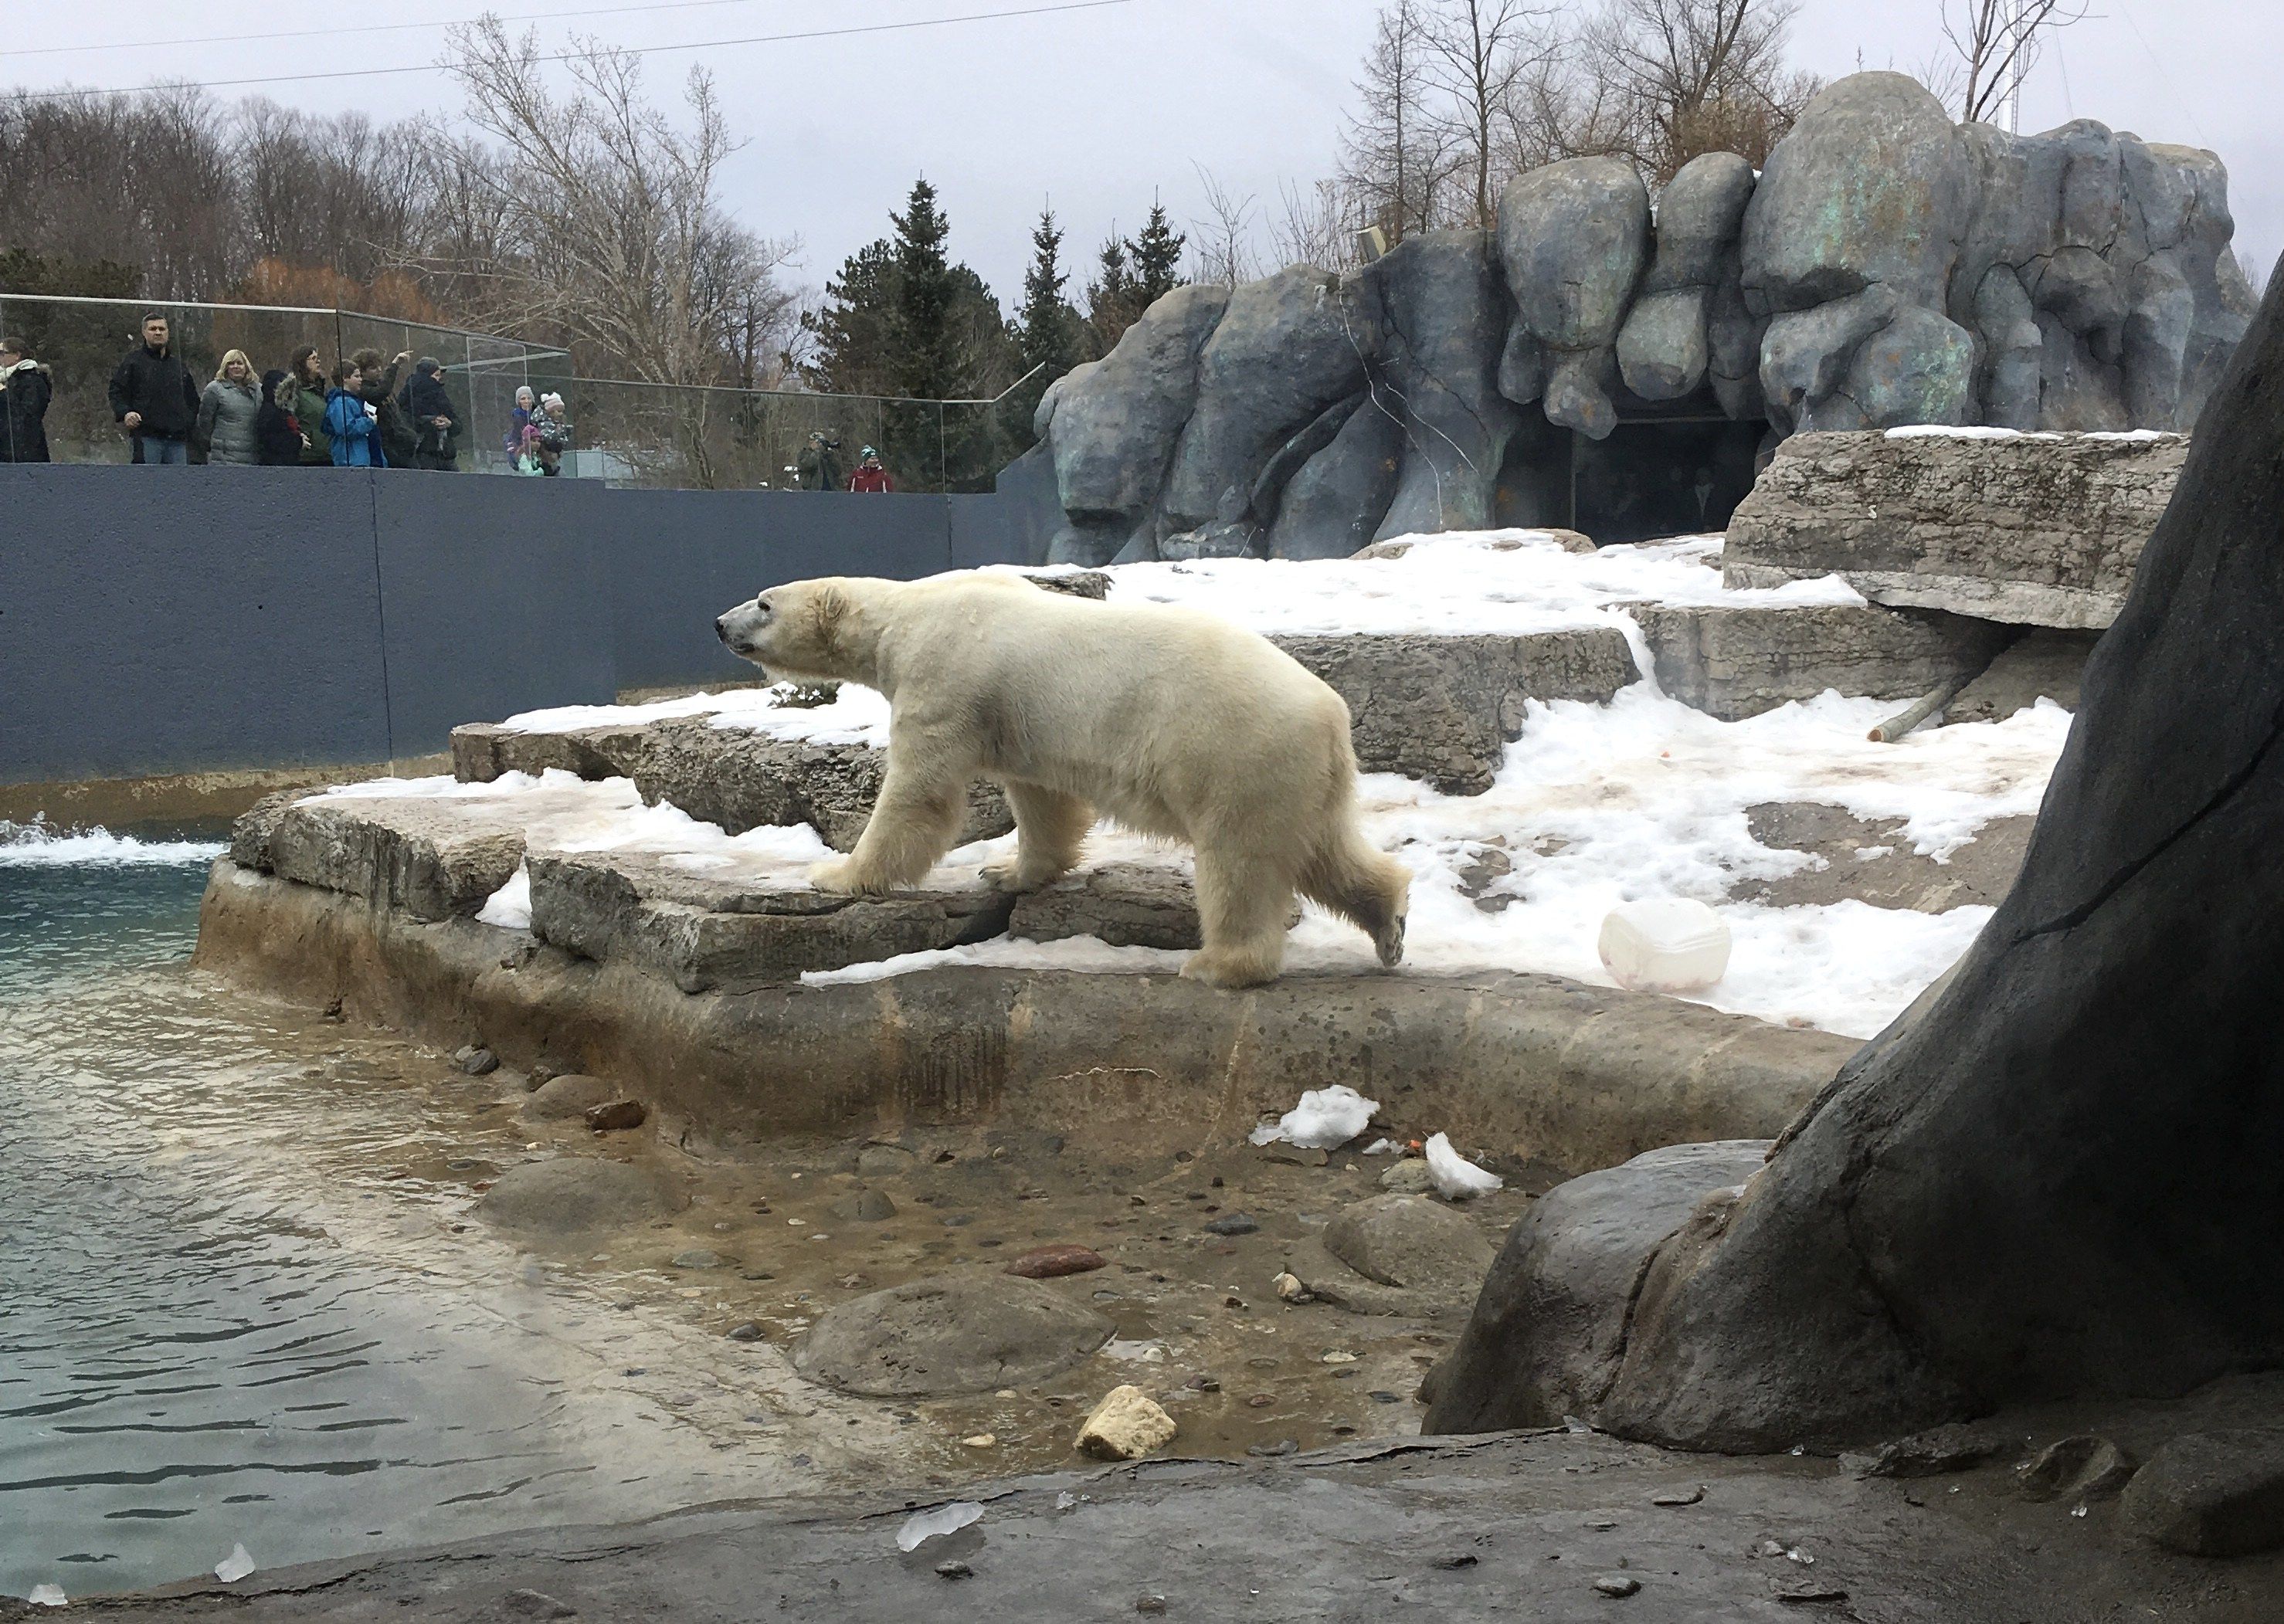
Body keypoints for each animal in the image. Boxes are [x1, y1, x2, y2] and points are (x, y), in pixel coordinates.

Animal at [717, 571, 1407, 986]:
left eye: (764, 602)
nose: (719, 623)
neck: (903, 614)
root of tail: (1330, 715)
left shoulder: (944, 680)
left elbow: (920, 794)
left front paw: (839, 873)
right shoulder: (1016, 720)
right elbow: (1043, 800)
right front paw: (1006, 871)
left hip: (1234, 754)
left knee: (1240, 865)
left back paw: (1216, 963)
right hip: (1302, 777)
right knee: (1327, 853)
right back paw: (1390, 923)